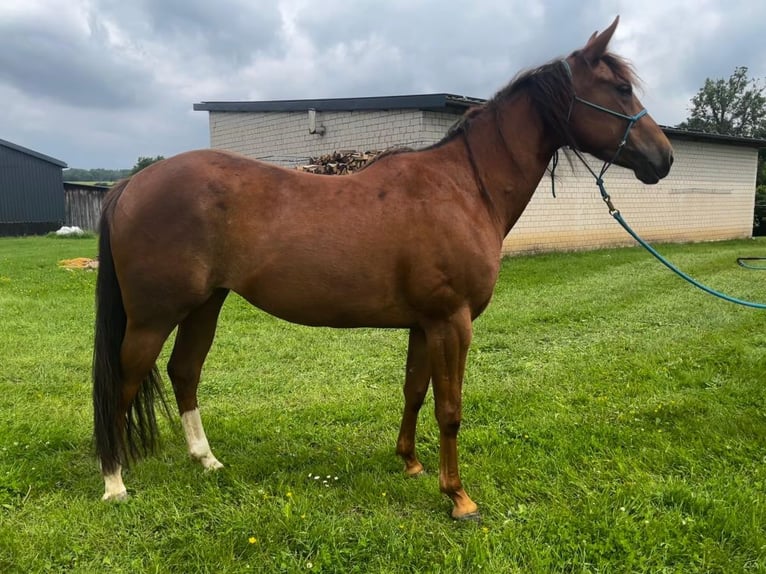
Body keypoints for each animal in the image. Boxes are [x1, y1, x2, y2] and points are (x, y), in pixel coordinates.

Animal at [93, 16, 676, 520]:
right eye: (619, 89)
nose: (664, 157)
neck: (464, 187)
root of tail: (130, 185)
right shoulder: (451, 322)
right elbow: (450, 409)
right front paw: (458, 496)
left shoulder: (424, 324)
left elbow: (414, 391)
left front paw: (411, 463)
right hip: (153, 317)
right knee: (122, 382)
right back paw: (115, 483)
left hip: (205, 305)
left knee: (184, 372)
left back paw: (206, 460)